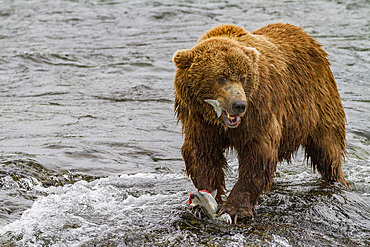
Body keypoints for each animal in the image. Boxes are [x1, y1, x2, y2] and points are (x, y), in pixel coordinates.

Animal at [172, 23, 348, 224]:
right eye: (221, 77)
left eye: (243, 77)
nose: (239, 105)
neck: (221, 122)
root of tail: (312, 41)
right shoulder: (198, 119)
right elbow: (202, 153)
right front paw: (204, 202)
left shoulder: (259, 111)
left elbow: (257, 155)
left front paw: (235, 209)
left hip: (318, 103)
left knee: (328, 149)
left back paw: (338, 181)